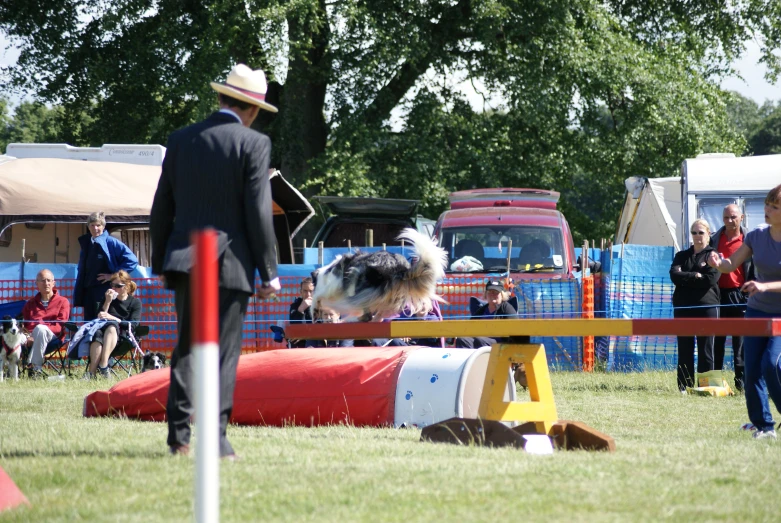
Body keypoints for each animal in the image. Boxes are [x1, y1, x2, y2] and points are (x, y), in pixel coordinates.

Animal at [310, 230, 444, 324]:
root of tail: (400, 268)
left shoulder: (328, 288)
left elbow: (315, 299)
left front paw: (314, 313)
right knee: (380, 314)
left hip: (362, 282)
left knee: (366, 315)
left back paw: (352, 319)